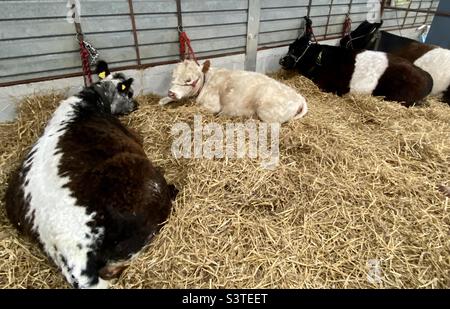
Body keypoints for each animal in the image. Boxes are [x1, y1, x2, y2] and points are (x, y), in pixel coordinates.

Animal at [156, 59, 308, 122]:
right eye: (173, 76)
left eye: (188, 80)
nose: (171, 92)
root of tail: (299, 97)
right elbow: (162, 101)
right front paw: (163, 100)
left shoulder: (212, 106)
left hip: (266, 112)